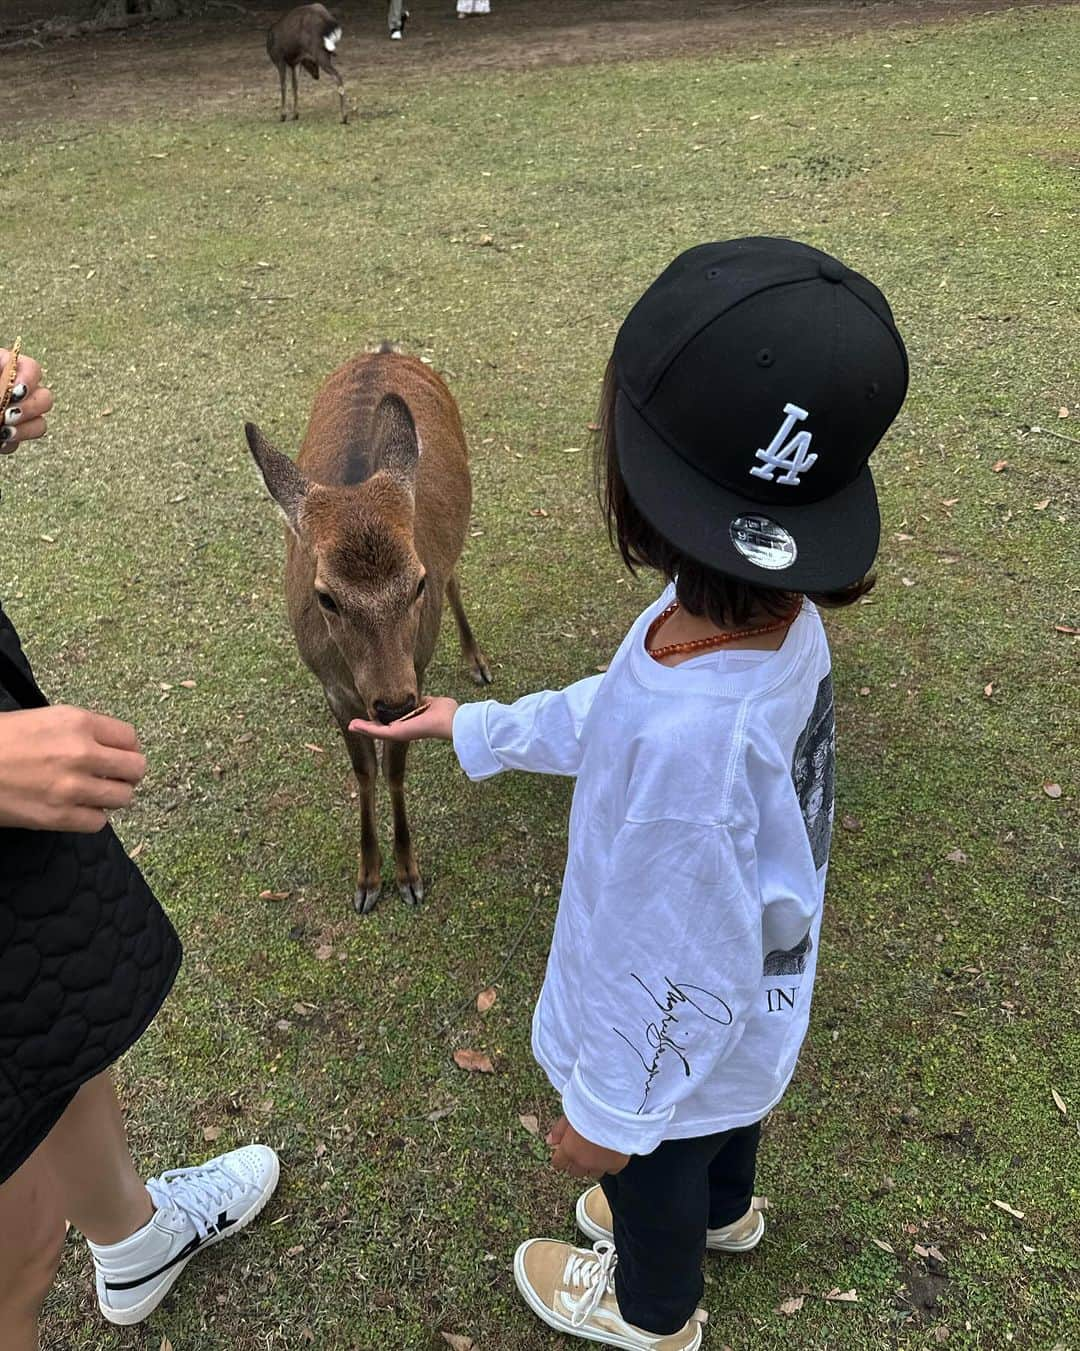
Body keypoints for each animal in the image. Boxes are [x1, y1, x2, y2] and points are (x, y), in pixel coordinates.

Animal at [243, 348, 489, 918]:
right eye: (325, 597)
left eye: (416, 582)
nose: (393, 704)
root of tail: (384, 349)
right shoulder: (334, 688)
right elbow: (364, 774)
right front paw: (367, 880)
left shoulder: (417, 668)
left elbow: (394, 771)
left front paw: (407, 876)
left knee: (457, 575)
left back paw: (476, 660)